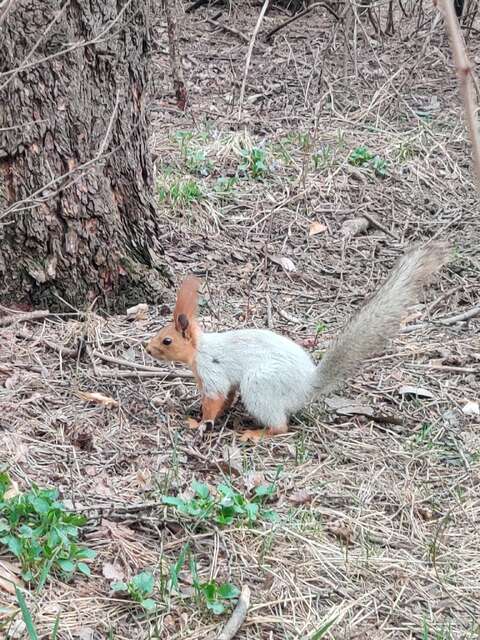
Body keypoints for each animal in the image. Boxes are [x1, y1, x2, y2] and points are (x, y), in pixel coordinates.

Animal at [146, 242, 450, 442]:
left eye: (167, 340)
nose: (147, 349)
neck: (199, 350)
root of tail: (306, 386)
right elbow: (227, 396)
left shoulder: (212, 371)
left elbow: (214, 399)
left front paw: (200, 422)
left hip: (260, 385)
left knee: (281, 426)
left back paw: (255, 434)